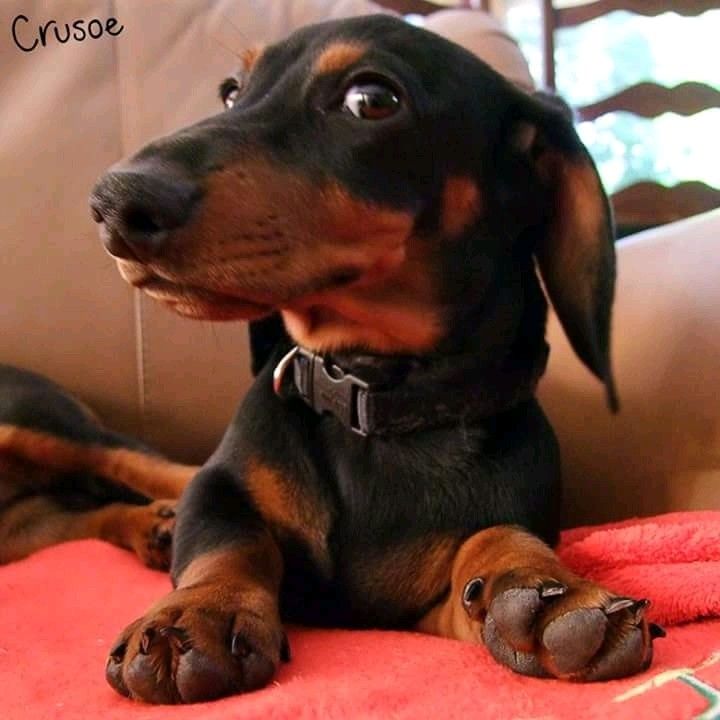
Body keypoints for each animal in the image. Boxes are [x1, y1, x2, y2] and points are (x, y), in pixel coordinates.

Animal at [1, 14, 664, 704]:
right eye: (231, 93)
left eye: (371, 99)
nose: (113, 205)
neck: (369, 398)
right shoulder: (220, 488)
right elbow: (225, 539)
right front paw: (198, 610)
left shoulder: (426, 603)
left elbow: (497, 534)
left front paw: (541, 589)